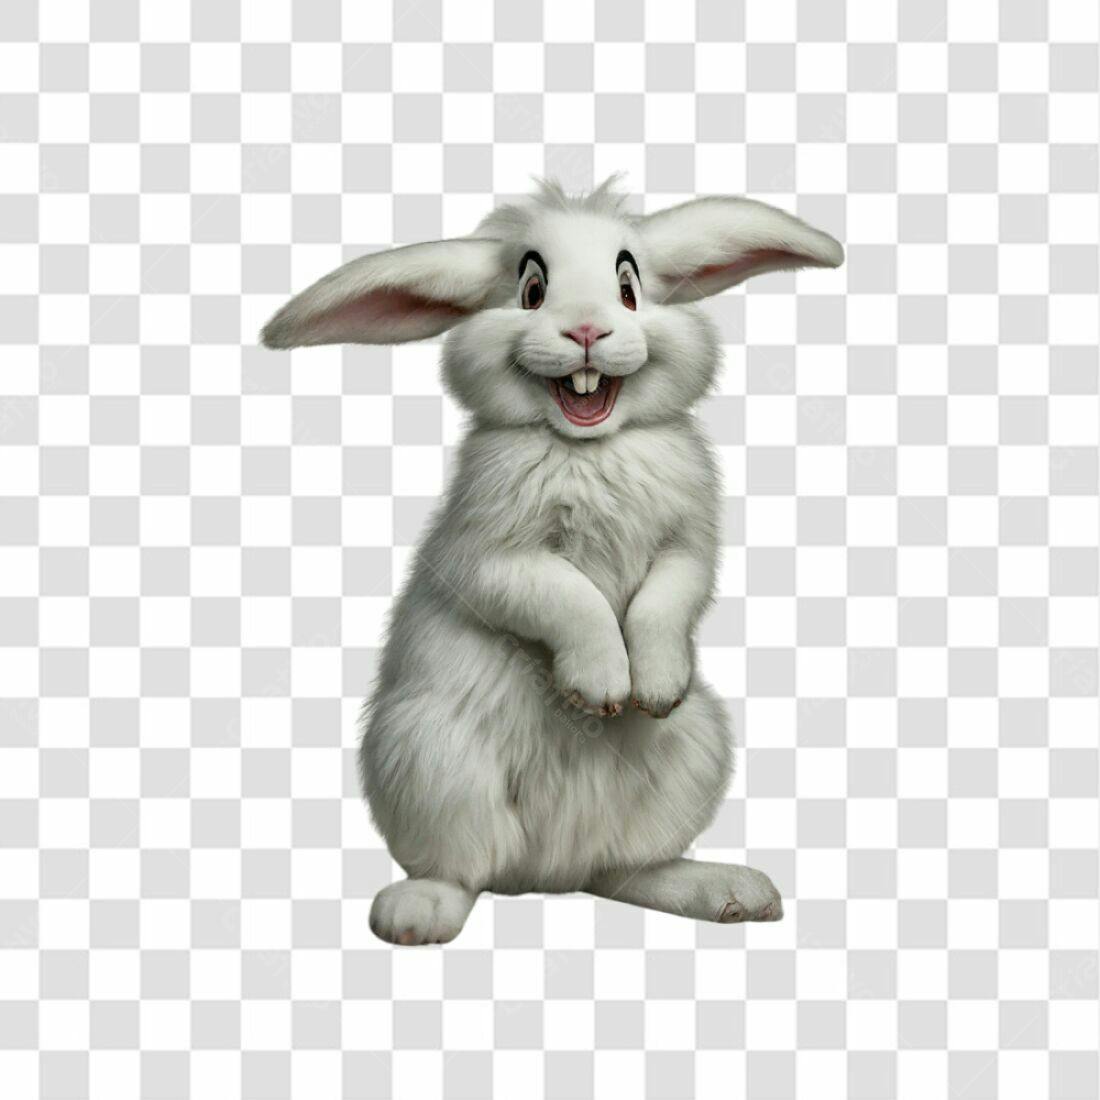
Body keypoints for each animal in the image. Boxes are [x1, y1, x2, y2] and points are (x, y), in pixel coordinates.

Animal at [262, 178, 844, 945]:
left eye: (629, 287)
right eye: (532, 289)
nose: (588, 330)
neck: (589, 447)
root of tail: (548, 874)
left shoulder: (687, 547)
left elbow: (666, 601)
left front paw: (652, 688)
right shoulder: (491, 556)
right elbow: (569, 599)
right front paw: (600, 689)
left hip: (697, 748)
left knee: (623, 867)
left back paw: (726, 891)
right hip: (431, 758)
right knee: (463, 866)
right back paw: (415, 914)